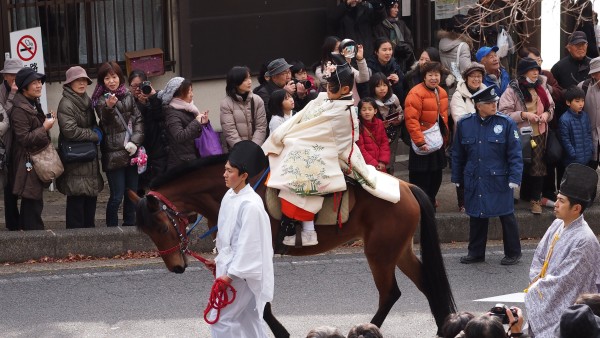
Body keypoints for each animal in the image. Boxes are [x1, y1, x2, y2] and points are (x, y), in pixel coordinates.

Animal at [127, 154, 454, 336]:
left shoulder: (258, 253)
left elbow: (265, 307)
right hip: (398, 249)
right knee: (427, 283)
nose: (176, 267)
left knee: (390, 294)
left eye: (160, 226)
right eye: (147, 232)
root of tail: (406, 187)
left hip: (380, 252)